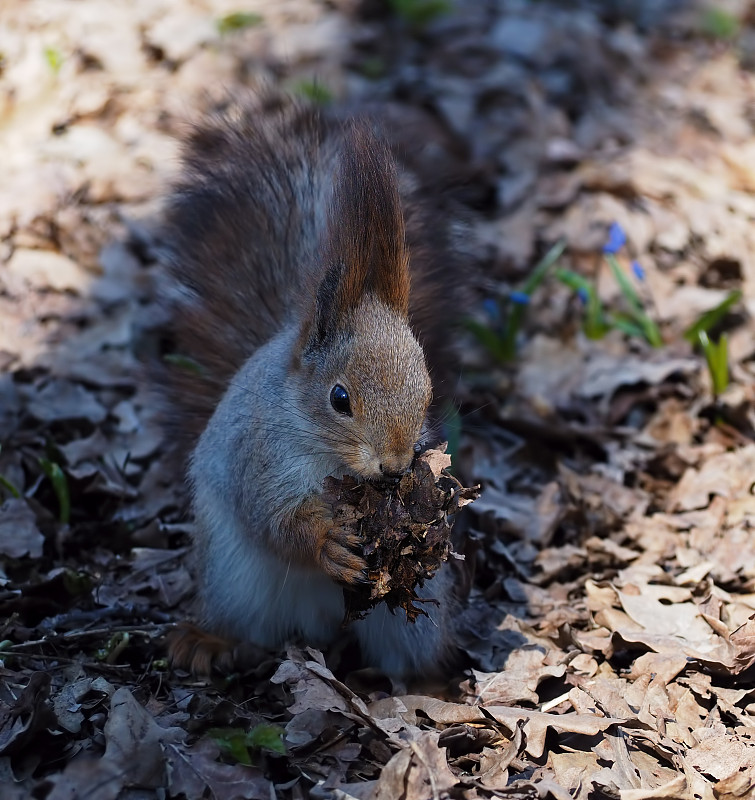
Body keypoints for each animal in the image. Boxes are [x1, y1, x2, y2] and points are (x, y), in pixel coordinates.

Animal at [159, 98, 464, 676]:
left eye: (427, 390)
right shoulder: (259, 458)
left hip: (412, 624)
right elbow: (275, 522)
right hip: (234, 580)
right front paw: (326, 543)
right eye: (339, 399)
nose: (396, 466)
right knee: (246, 628)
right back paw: (211, 641)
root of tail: (321, 628)